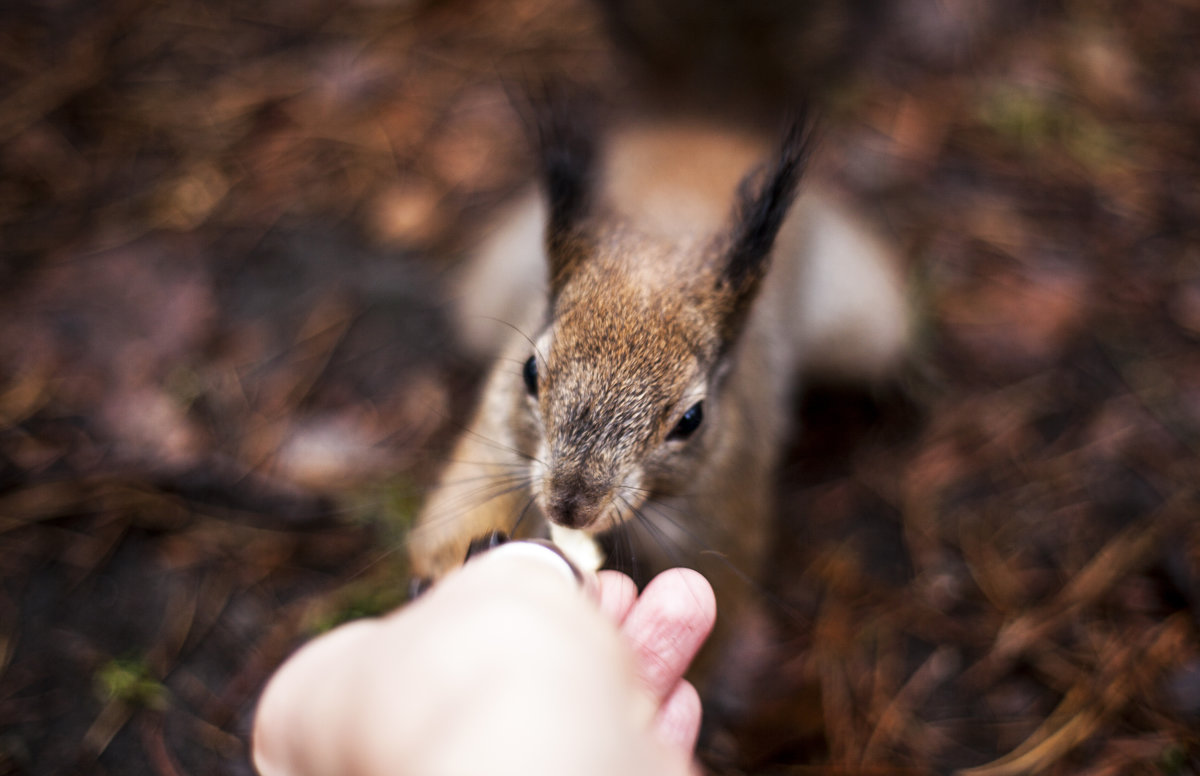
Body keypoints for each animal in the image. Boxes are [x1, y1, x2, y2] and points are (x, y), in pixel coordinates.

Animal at [405, 100, 907, 700]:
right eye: (528, 371)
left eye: (691, 419)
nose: (569, 506)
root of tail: (696, 129)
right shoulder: (494, 451)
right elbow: (447, 526)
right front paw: (461, 565)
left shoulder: (721, 518)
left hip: (866, 324)